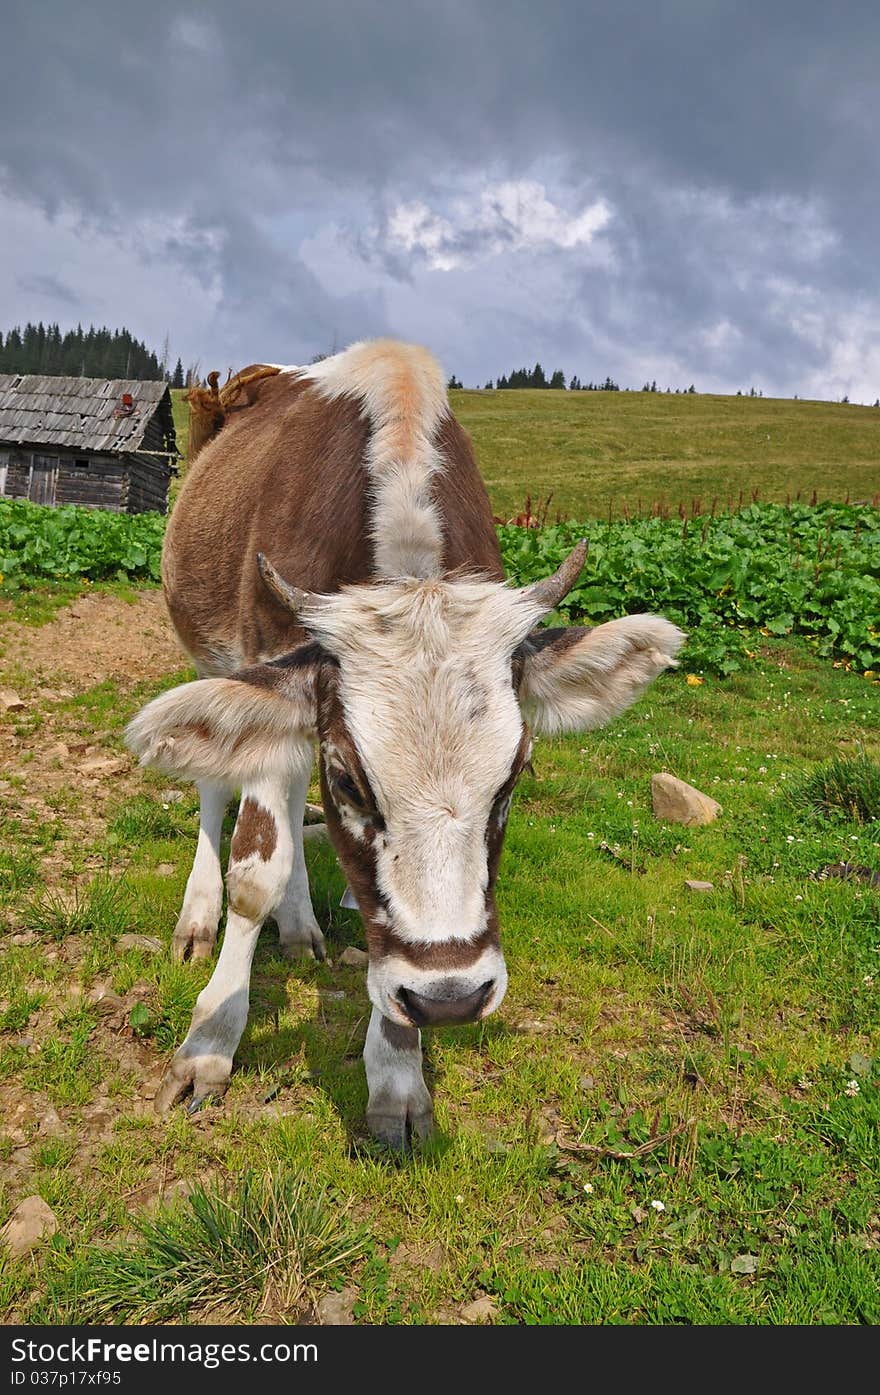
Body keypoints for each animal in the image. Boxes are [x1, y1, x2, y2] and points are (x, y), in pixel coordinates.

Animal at [125, 337, 688, 1143]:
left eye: (513, 779)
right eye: (351, 781)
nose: (449, 998)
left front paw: (395, 1076)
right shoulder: (276, 670)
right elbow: (256, 869)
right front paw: (209, 1041)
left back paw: (301, 928)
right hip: (212, 656)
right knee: (214, 785)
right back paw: (200, 915)